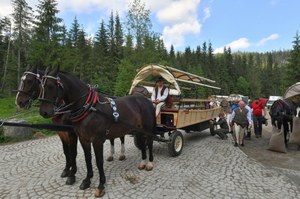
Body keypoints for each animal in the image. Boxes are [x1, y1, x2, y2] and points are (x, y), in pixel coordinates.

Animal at [37, 65, 156, 197]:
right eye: (40, 85)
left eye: (51, 86)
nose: (44, 112)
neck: (89, 108)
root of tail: (145, 99)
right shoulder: (83, 139)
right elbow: (88, 158)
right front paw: (87, 180)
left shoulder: (97, 140)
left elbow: (99, 161)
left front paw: (101, 185)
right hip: (138, 129)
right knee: (142, 143)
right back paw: (143, 162)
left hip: (147, 128)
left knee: (150, 142)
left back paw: (149, 163)